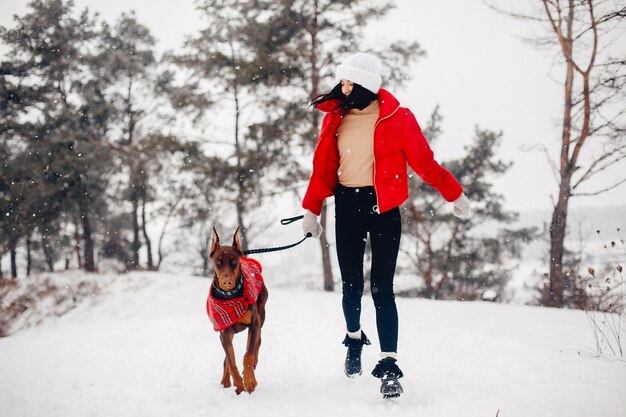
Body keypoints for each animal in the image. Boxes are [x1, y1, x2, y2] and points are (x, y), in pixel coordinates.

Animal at [206, 228, 266, 394]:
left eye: (234, 261)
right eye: (218, 261)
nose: (227, 282)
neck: (230, 297)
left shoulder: (254, 324)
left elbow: (248, 354)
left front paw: (250, 382)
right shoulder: (223, 331)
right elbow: (231, 362)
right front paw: (239, 385)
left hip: (261, 314)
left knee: (256, 343)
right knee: (227, 358)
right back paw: (226, 380)